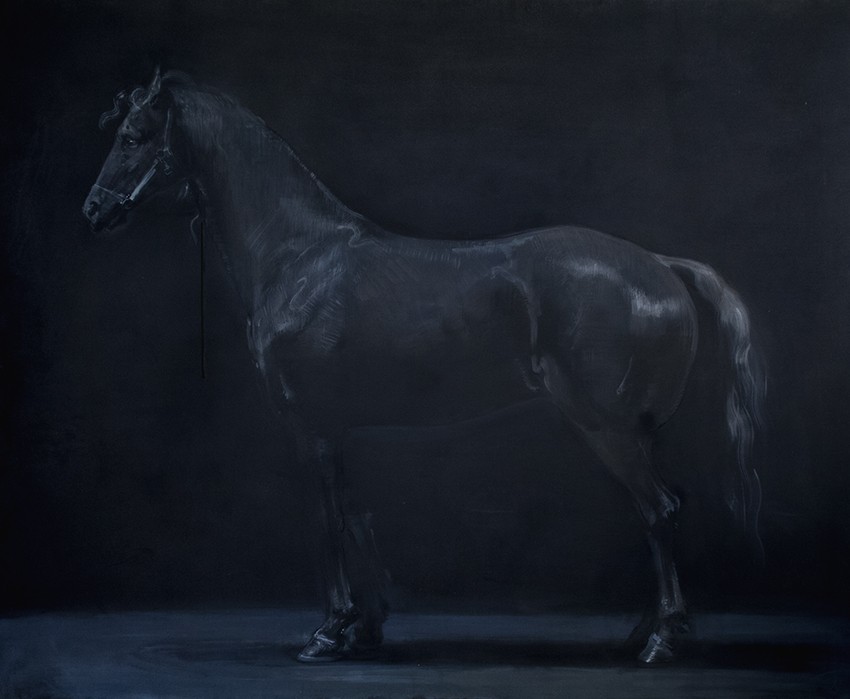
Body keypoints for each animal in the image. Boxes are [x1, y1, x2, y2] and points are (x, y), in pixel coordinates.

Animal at [83, 69, 764, 664]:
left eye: (134, 136)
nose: (93, 211)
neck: (301, 256)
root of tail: (661, 265)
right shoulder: (341, 430)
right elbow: (357, 517)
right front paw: (365, 627)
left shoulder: (311, 427)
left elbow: (328, 523)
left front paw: (329, 632)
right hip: (635, 433)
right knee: (661, 510)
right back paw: (644, 632)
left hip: (608, 429)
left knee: (659, 511)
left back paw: (663, 641)